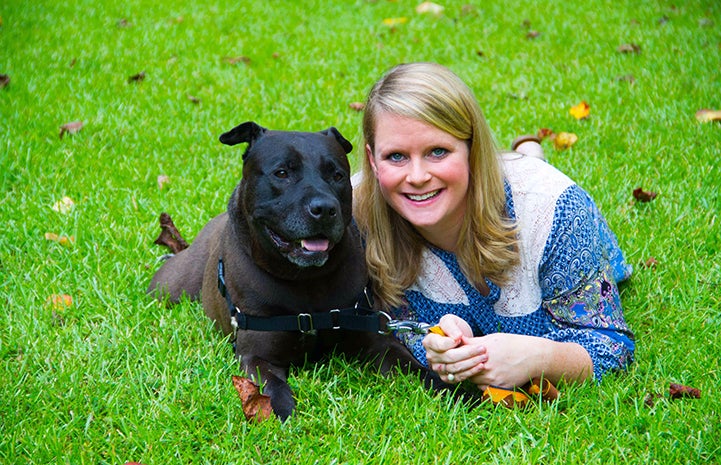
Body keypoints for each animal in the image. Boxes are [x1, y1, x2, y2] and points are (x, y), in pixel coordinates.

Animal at [148, 121, 444, 418]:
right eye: (282, 173)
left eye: (337, 175)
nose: (324, 208)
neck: (307, 281)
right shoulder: (257, 356)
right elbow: (274, 390)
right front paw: (282, 414)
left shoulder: (376, 341)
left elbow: (418, 369)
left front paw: (452, 390)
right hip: (169, 287)